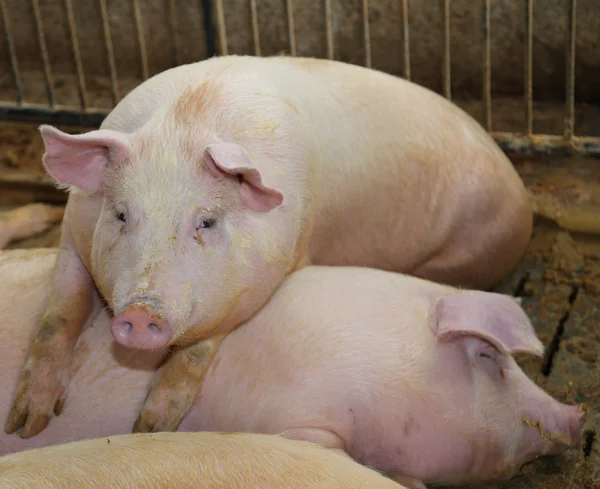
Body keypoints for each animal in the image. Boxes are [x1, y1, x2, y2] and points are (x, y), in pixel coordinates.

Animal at [5, 54, 536, 438]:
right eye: (120, 214)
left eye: (206, 221)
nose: (139, 314)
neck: (186, 121)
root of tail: (522, 198)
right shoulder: (74, 232)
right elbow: (58, 315)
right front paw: (27, 423)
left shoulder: (274, 268)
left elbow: (200, 348)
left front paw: (150, 428)